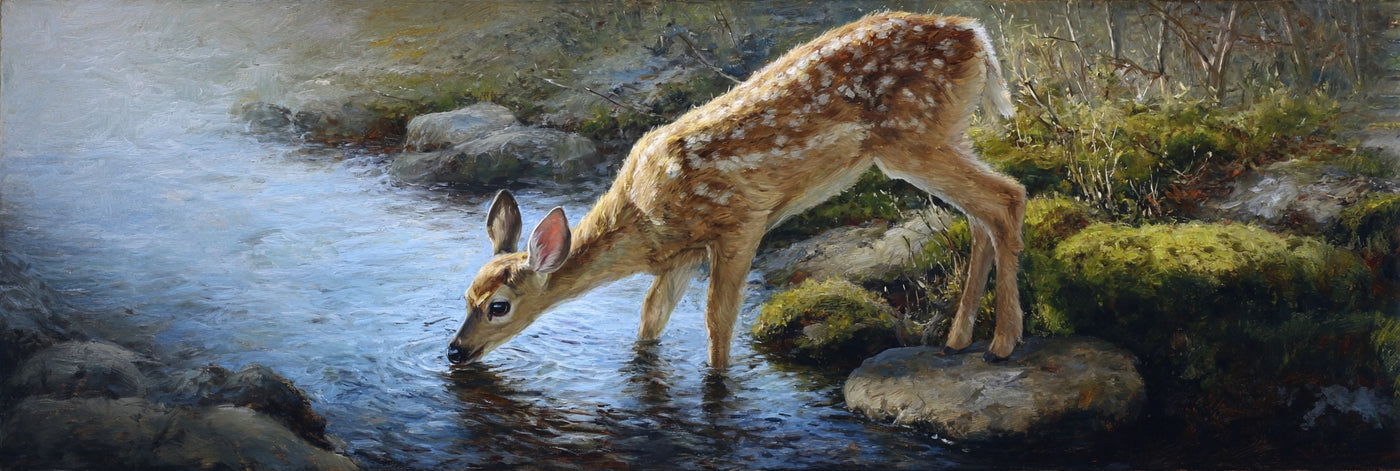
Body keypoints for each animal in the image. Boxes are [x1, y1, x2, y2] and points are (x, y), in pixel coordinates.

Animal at [447, 12, 1026, 370]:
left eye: (498, 306)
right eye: (465, 297)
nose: (454, 351)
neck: (643, 216)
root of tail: (978, 37)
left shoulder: (741, 221)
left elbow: (717, 322)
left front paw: (718, 383)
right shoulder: (680, 255)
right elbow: (650, 321)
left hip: (913, 138)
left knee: (1007, 197)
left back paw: (1001, 344)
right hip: (945, 133)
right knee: (979, 213)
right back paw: (957, 341)